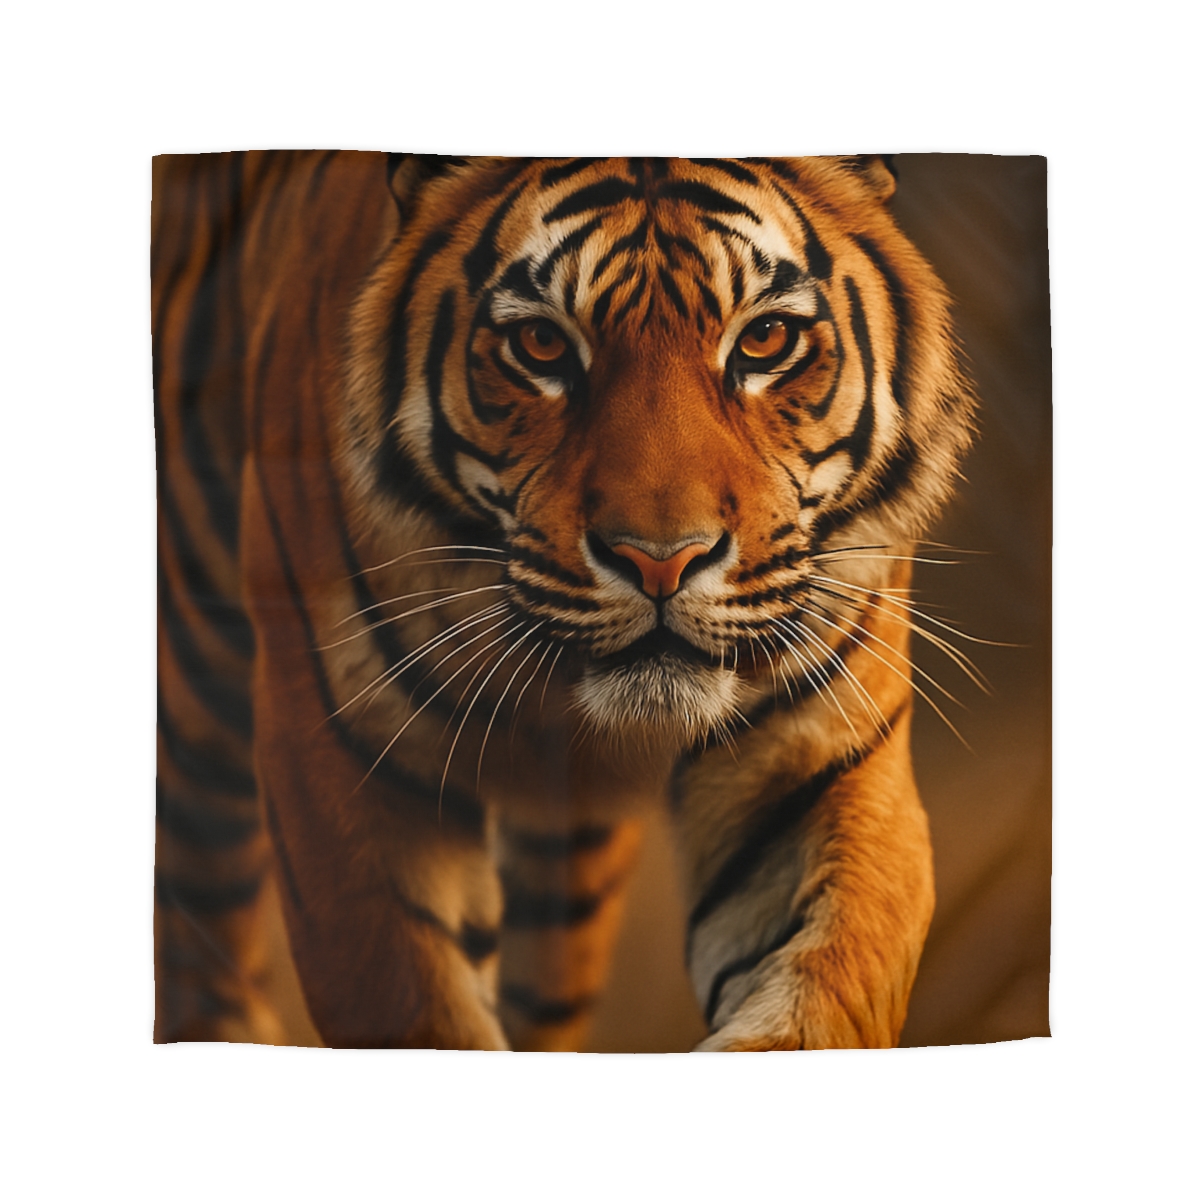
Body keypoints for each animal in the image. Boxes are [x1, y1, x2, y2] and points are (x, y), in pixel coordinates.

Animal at [153, 152, 976, 1050]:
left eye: (764, 339)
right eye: (541, 343)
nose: (661, 561)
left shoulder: (823, 764)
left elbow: (820, 997)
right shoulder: (346, 759)